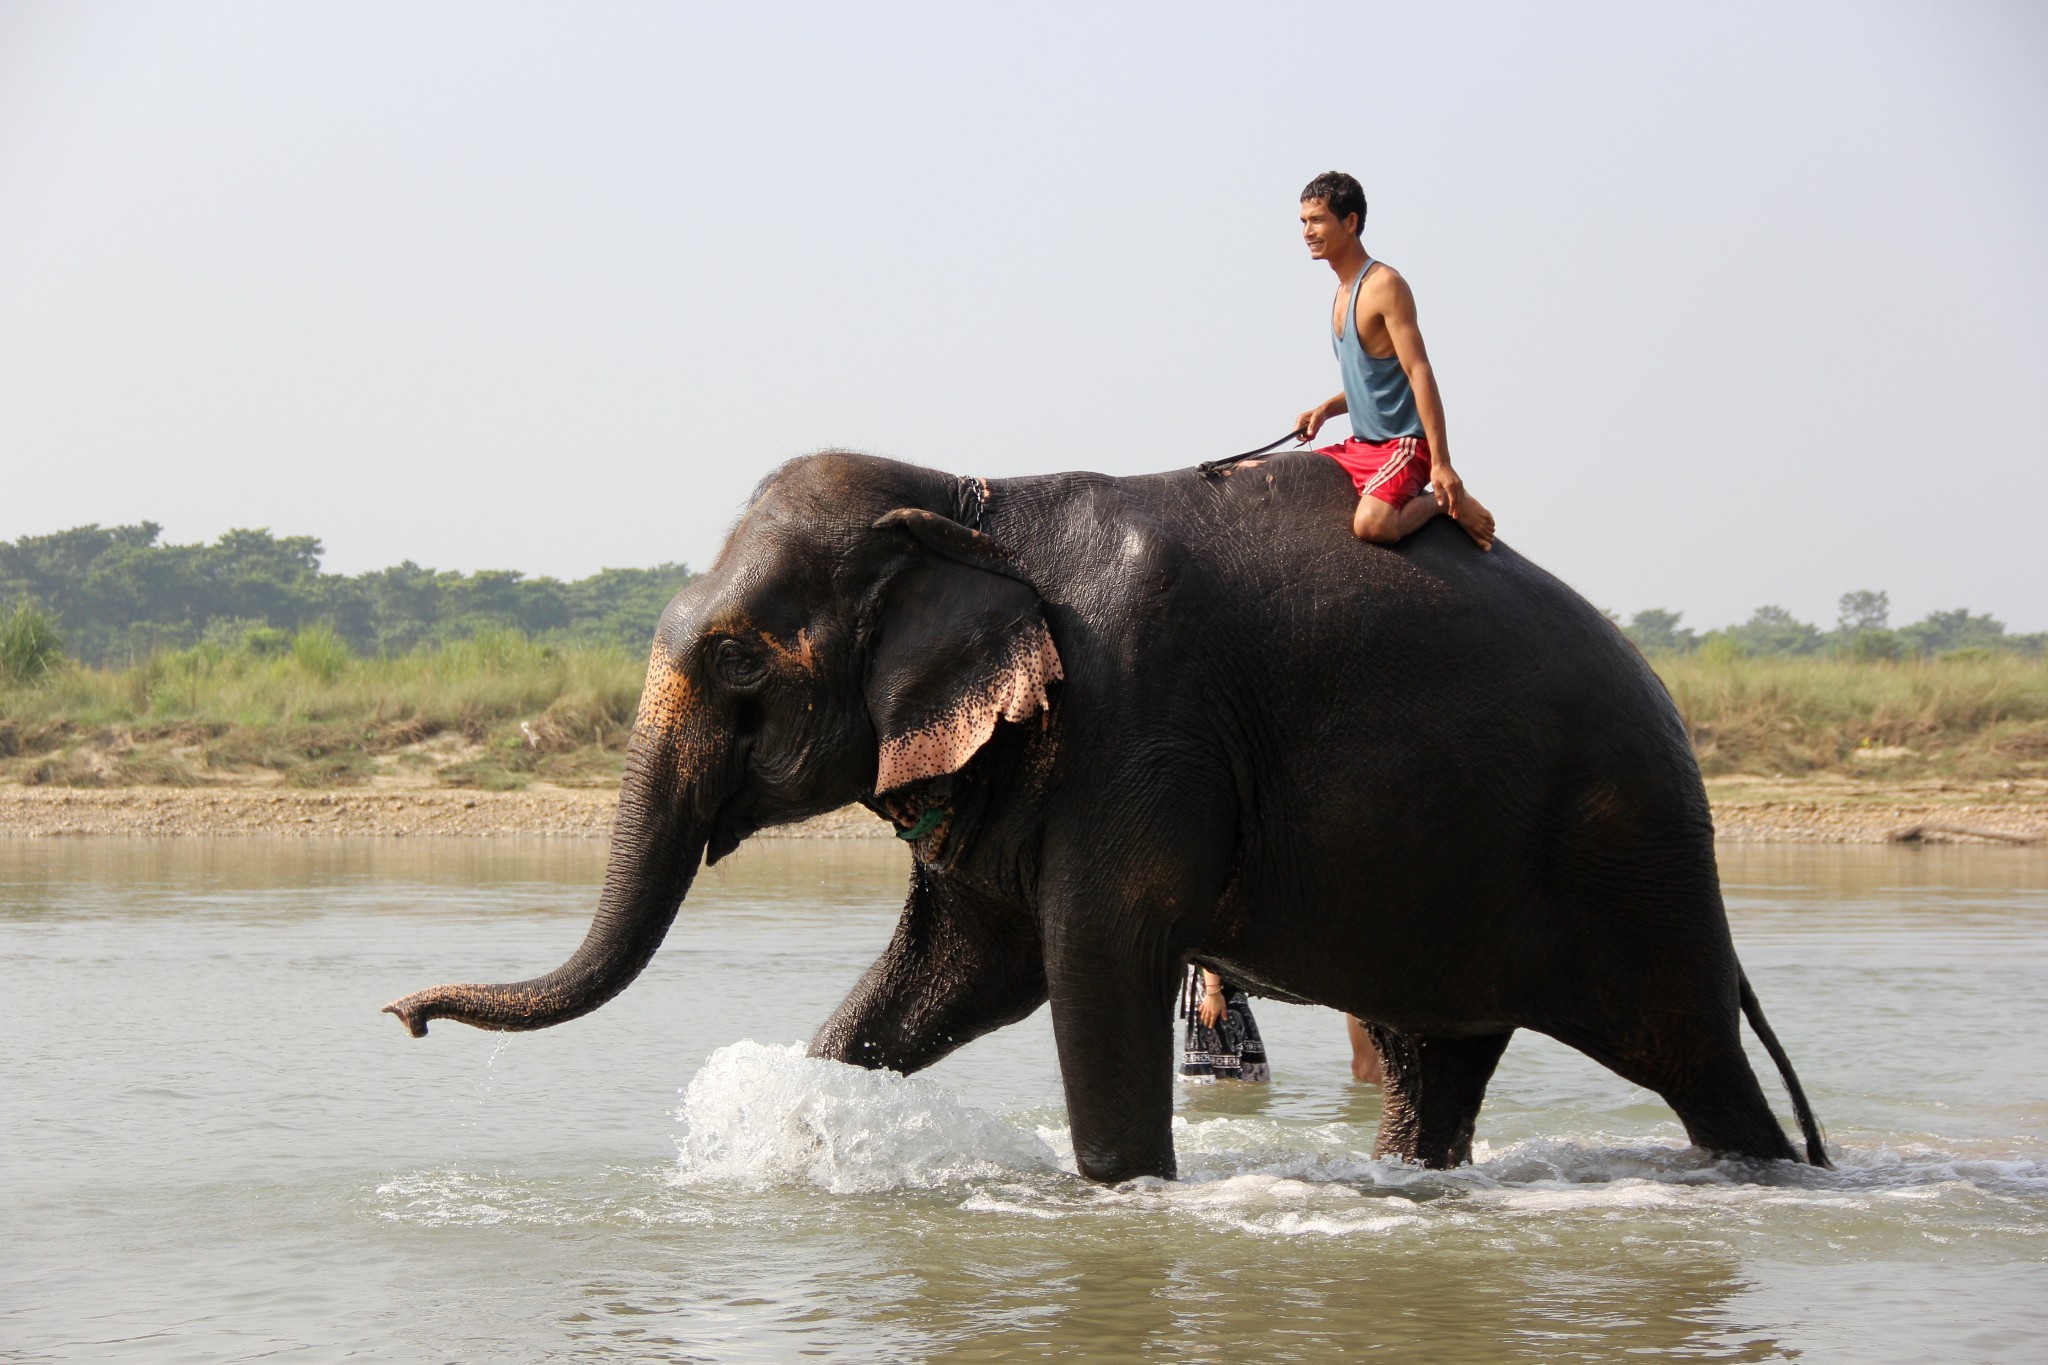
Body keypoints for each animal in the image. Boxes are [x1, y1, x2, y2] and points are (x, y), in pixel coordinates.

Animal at [385, 448, 1826, 1186]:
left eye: (737, 661)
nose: (403, 1017)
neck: (970, 498)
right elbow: (952, 972)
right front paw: (812, 1111)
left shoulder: (1139, 721)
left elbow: (1092, 966)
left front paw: (1127, 1202)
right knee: (1438, 1063)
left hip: (1629, 853)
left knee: (1693, 1058)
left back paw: (1763, 1181)